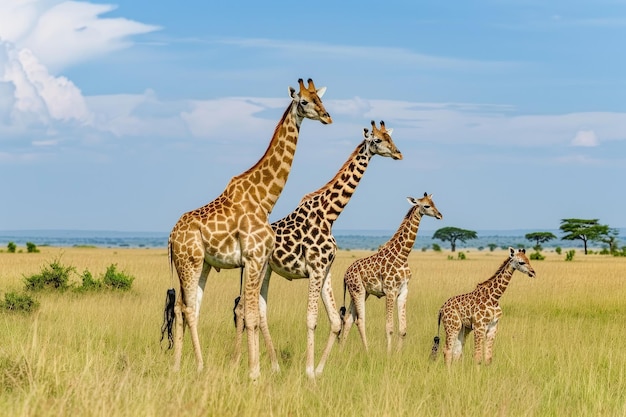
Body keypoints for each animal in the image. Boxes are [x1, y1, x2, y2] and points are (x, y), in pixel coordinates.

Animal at [162, 78, 332, 380]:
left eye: (319, 98)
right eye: (304, 101)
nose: (327, 116)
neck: (265, 199)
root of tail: (171, 238)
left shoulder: (260, 260)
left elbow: (251, 311)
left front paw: (255, 369)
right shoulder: (253, 258)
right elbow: (250, 313)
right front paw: (254, 373)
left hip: (202, 265)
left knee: (185, 307)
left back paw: (178, 366)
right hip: (190, 262)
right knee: (188, 309)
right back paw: (200, 365)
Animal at [232, 119, 402, 376]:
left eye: (390, 138)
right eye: (378, 140)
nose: (398, 153)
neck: (330, 214)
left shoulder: (326, 269)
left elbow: (335, 320)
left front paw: (319, 369)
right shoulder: (315, 268)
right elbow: (311, 320)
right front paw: (309, 371)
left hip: (266, 270)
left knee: (259, 311)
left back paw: (273, 366)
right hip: (256, 270)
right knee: (242, 308)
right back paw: (239, 362)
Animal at [338, 192, 442, 352]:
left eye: (434, 203)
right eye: (426, 205)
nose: (439, 215)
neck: (403, 255)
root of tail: (345, 275)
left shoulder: (403, 291)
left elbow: (403, 329)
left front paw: (397, 354)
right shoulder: (390, 291)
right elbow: (389, 327)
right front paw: (388, 354)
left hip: (360, 292)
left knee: (348, 318)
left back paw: (340, 350)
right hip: (358, 291)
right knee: (359, 320)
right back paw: (367, 351)